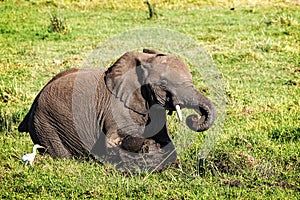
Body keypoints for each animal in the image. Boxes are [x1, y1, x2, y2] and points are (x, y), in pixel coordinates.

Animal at [18, 48, 216, 172]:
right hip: (48, 124)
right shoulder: (115, 109)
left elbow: (165, 141)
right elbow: (114, 142)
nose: (193, 118)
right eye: (164, 84)